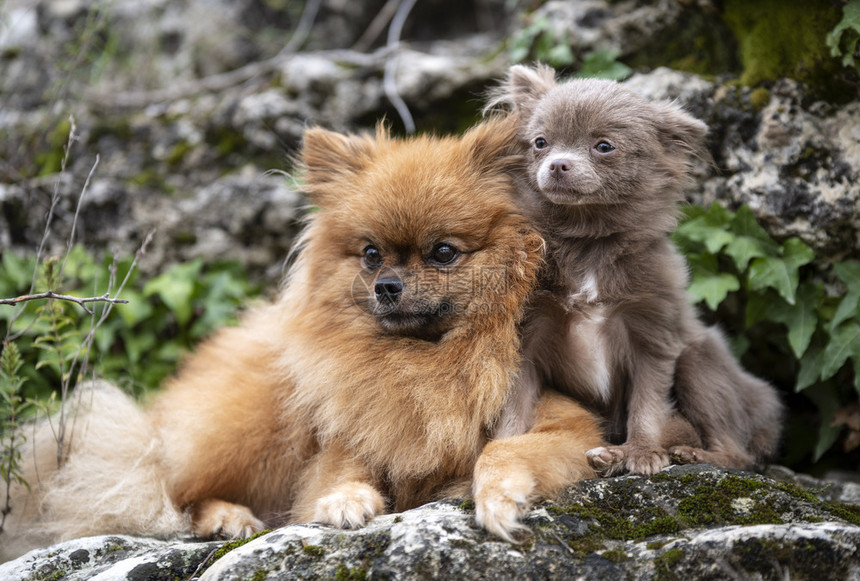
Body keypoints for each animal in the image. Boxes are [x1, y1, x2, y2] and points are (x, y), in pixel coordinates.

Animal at [1, 116, 604, 556]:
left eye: (443, 253)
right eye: (370, 254)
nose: (387, 285)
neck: (426, 360)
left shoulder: (571, 425)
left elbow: (502, 449)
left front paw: (496, 497)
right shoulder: (350, 433)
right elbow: (342, 469)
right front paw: (344, 499)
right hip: (258, 422)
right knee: (167, 489)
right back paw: (226, 518)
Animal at [488, 63, 784, 474]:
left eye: (604, 147)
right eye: (540, 143)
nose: (558, 163)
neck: (588, 244)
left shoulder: (652, 338)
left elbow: (646, 406)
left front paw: (643, 452)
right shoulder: (527, 339)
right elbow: (514, 407)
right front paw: (501, 451)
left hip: (698, 361)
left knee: (737, 453)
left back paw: (689, 454)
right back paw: (611, 454)